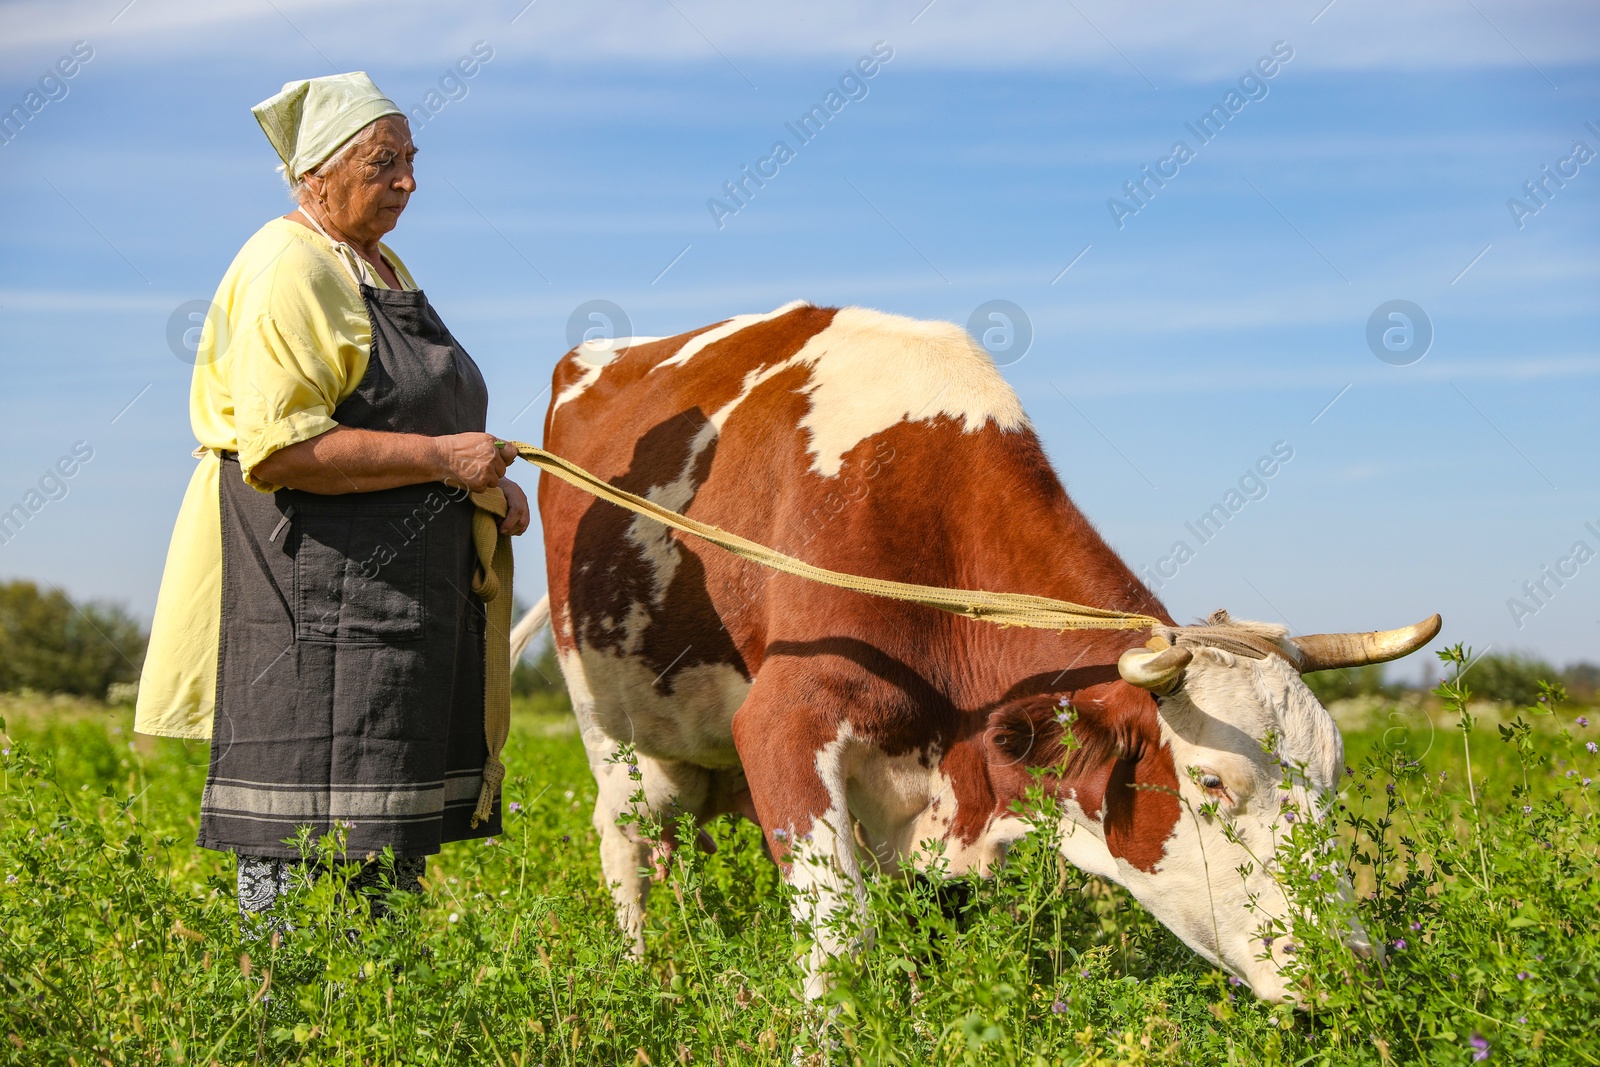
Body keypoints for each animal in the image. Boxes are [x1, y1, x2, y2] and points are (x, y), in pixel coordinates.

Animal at [521, 302, 1440, 1011]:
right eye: (1212, 782)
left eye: (1335, 777)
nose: (1351, 969)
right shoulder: (783, 723)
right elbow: (843, 942)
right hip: (615, 727)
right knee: (627, 844)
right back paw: (644, 977)